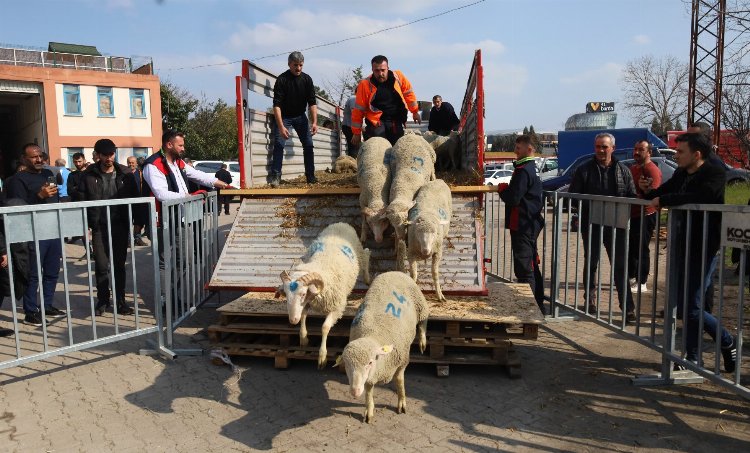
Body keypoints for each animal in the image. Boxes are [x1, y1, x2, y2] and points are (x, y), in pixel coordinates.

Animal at [280, 222, 374, 368]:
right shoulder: (309, 302)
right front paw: (303, 338)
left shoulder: (337, 307)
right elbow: (303, 315)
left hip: (358, 251)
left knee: (366, 254)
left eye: (303, 294)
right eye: (286, 294)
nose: (292, 320)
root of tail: (341, 223)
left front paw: (322, 357)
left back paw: (367, 278)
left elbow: (324, 327)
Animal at [334, 270, 428, 422]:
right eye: (346, 364)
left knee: (423, 322)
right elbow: (368, 388)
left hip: (421, 305)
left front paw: (402, 402)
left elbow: (399, 381)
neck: (372, 335)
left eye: (370, 362)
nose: (355, 391)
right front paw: (369, 409)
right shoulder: (370, 376)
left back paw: (422, 341)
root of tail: (394, 271)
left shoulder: (402, 361)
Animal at [388, 132, 434, 270]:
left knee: (433, 171)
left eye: (405, 221)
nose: (401, 237)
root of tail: (411, 134)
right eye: (392, 224)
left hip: (432, 157)